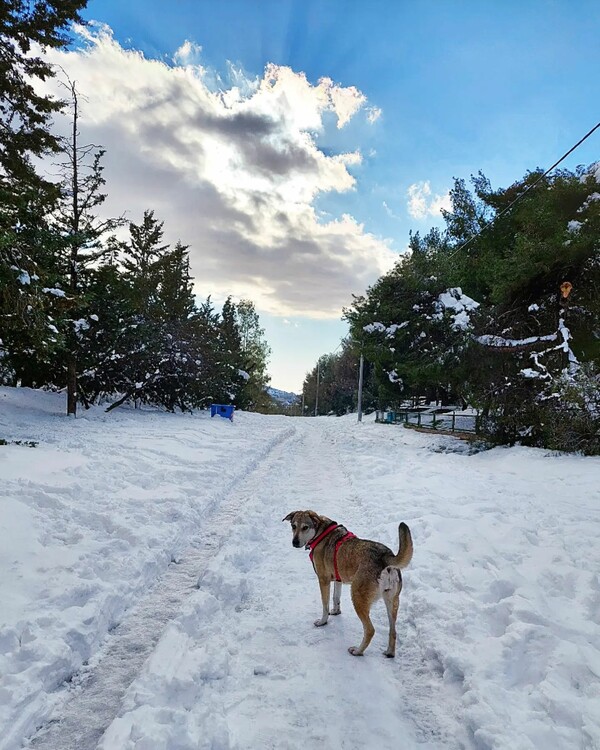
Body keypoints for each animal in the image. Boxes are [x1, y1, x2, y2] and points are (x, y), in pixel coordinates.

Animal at [282, 512, 412, 656]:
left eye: (305, 527)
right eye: (293, 526)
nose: (294, 542)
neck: (321, 533)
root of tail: (385, 556)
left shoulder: (323, 580)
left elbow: (325, 605)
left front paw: (323, 621)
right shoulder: (337, 579)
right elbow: (336, 597)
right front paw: (336, 611)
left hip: (357, 597)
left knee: (370, 630)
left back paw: (358, 651)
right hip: (392, 601)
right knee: (393, 631)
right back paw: (389, 652)